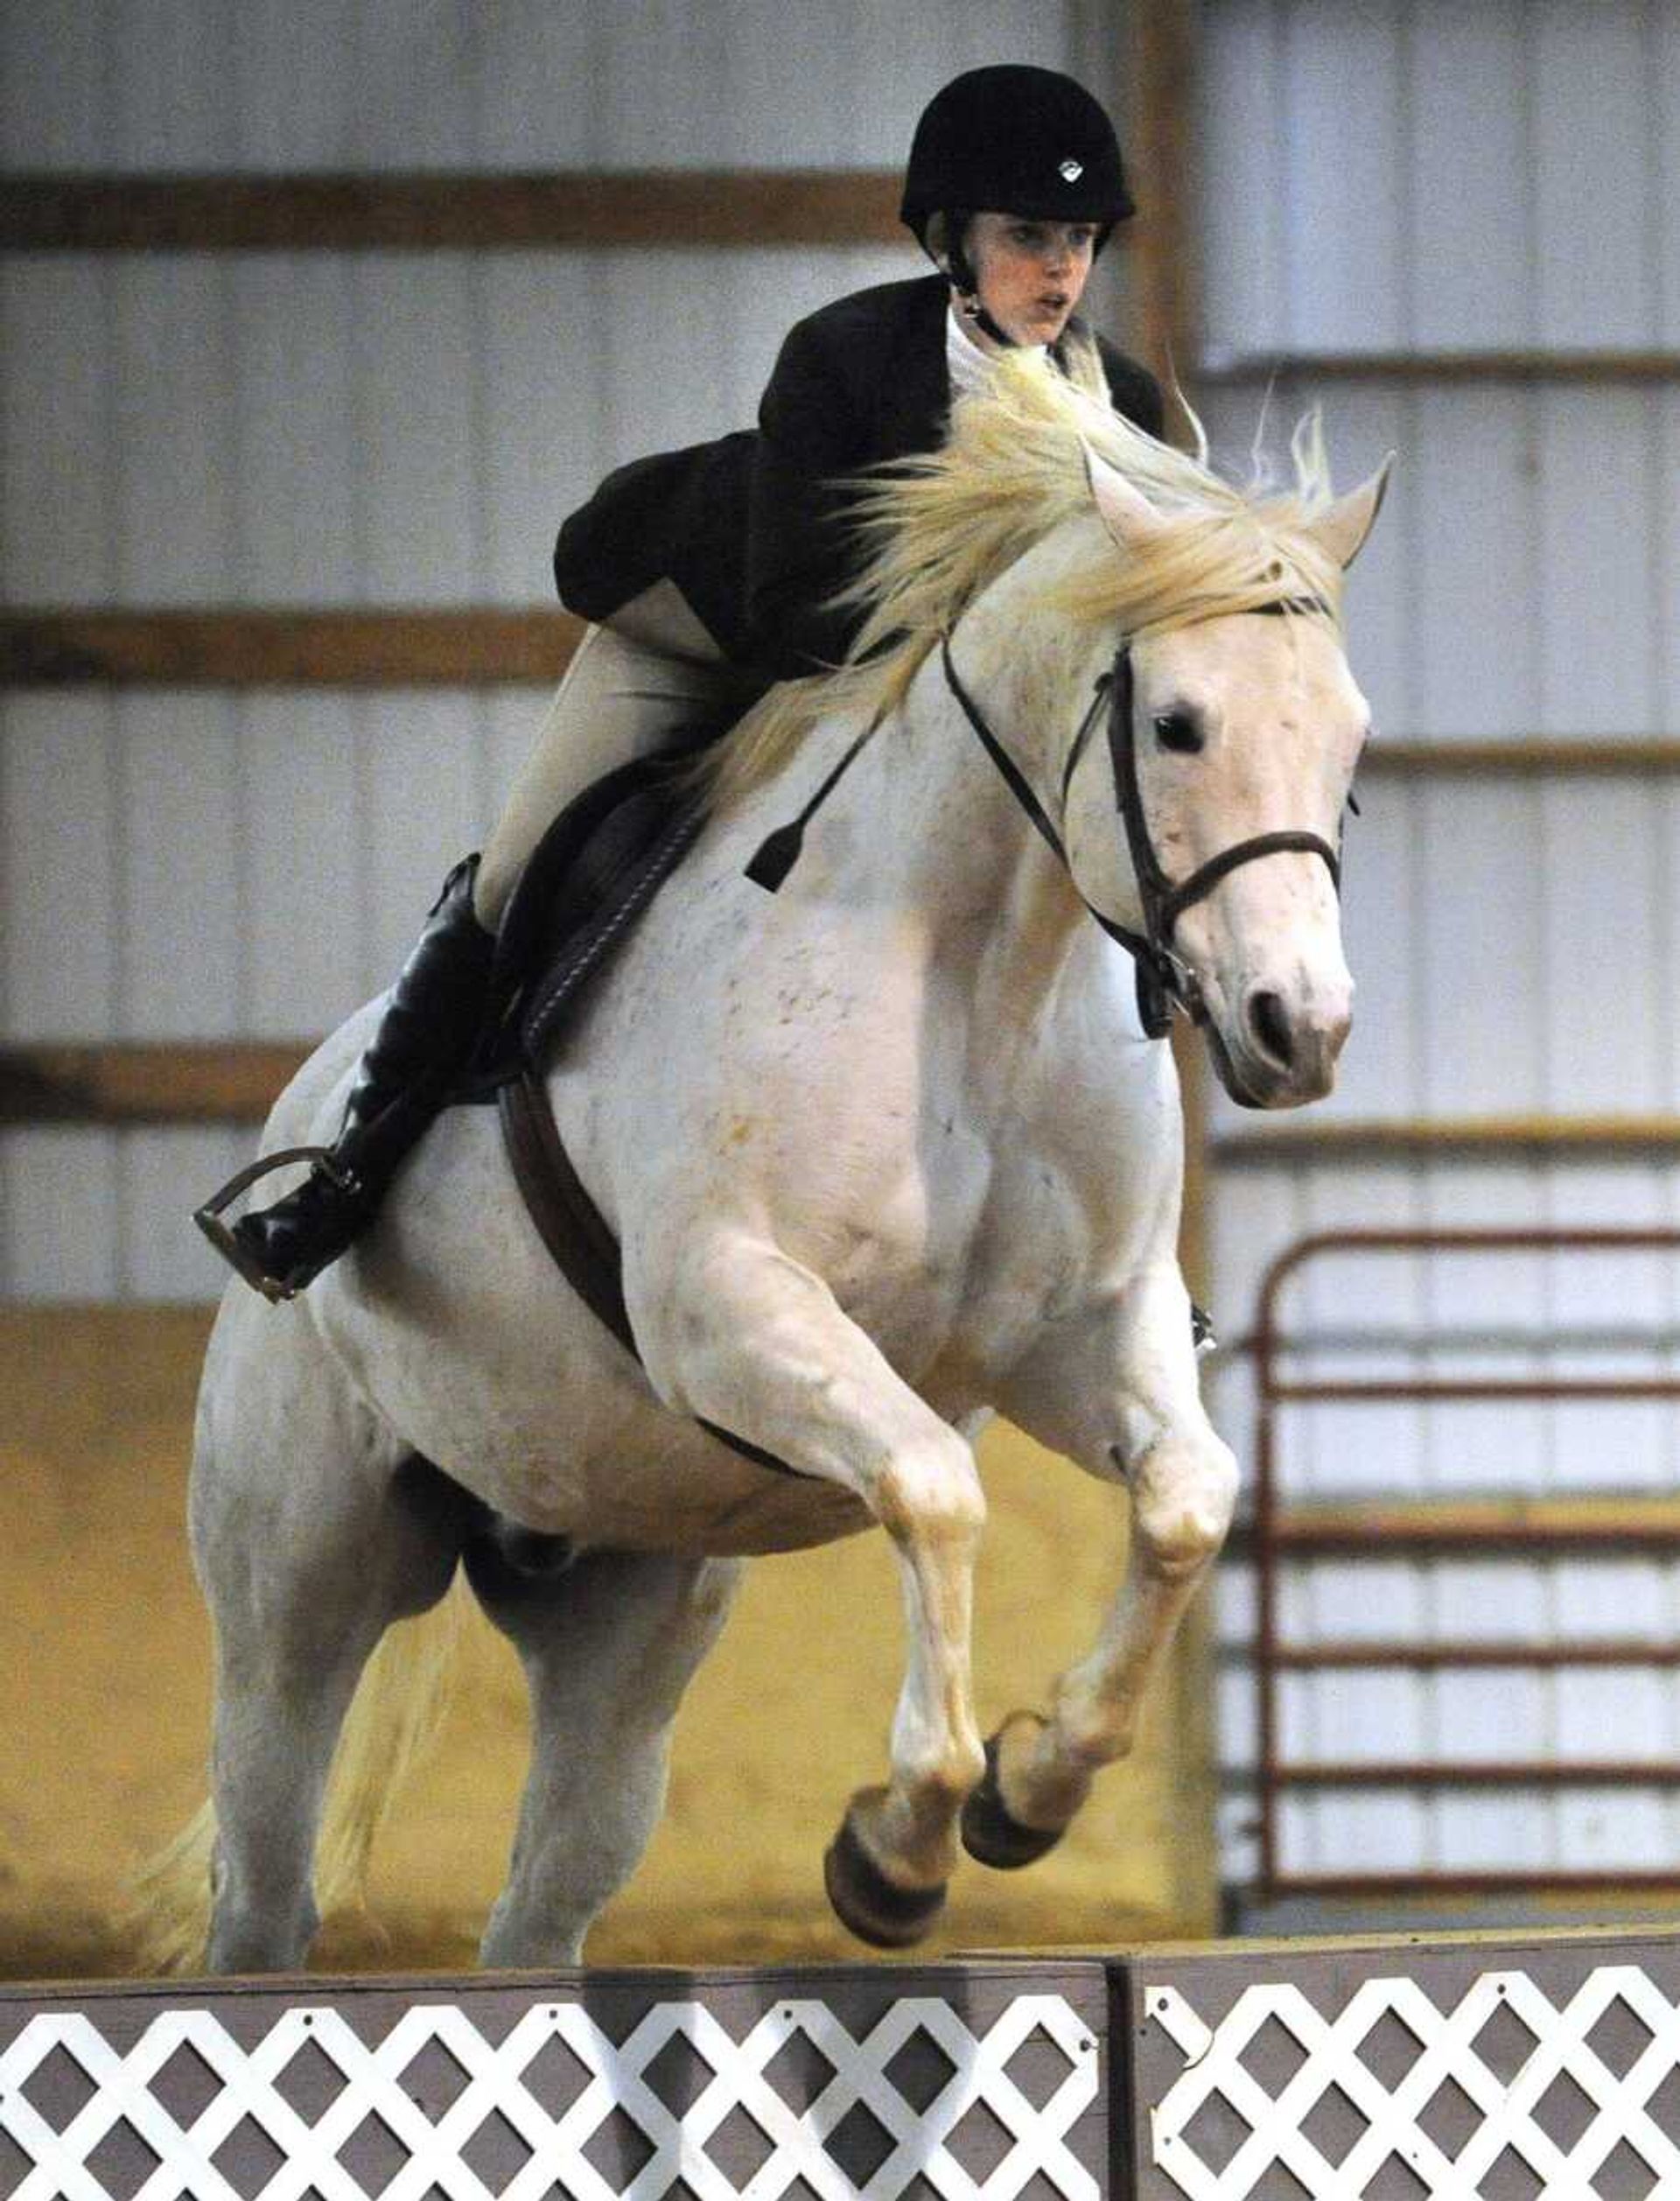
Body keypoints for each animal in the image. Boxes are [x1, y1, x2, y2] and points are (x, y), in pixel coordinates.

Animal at [144, 361, 1382, 1980]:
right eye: (1177, 723)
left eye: (1350, 743)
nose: (1300, 1031)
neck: (978, 976)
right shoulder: (733, 1311)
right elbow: (937, 1494)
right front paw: (902, 1846)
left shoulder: (1075, 1334)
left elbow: (1184, 1500)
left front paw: (1030, 1789)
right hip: (299, 1588)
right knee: (267, 1887)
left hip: (628, 1608)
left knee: (544, 1902)